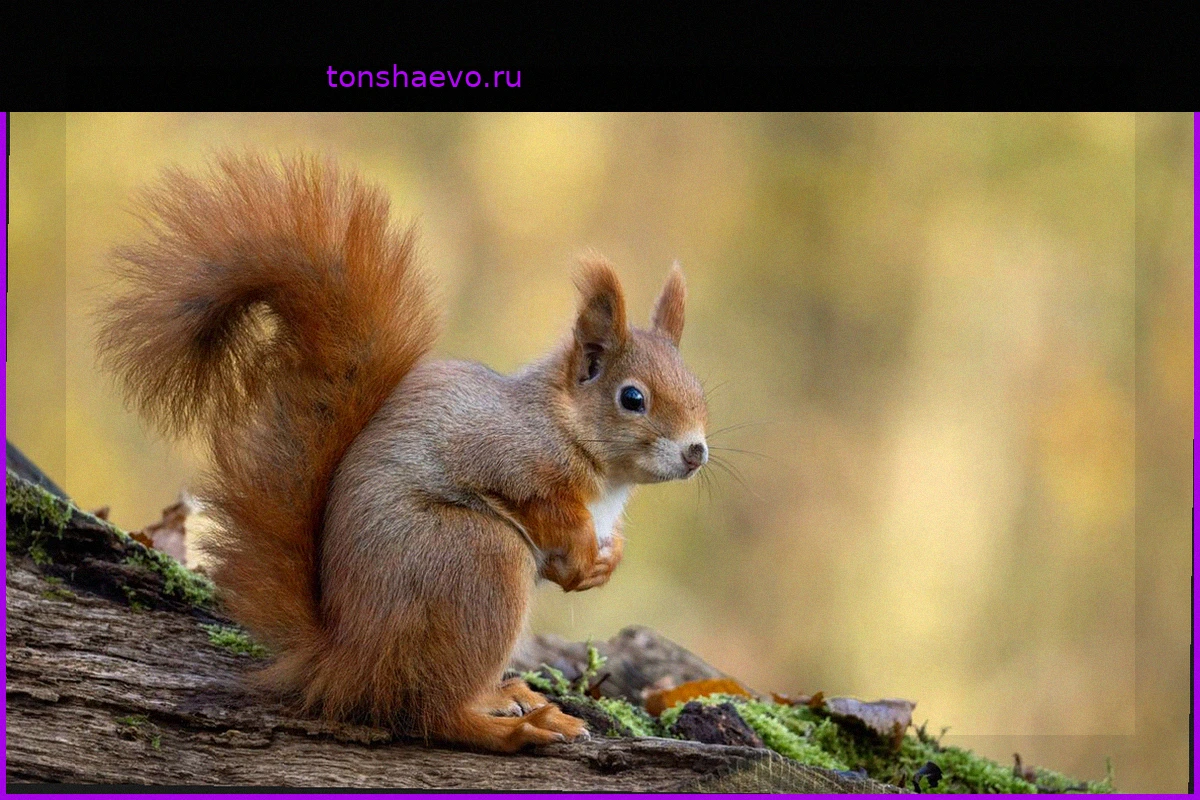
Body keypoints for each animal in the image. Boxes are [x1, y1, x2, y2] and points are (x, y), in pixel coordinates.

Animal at [96, 153, 709, 752]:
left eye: (699, 389)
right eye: (632, 398)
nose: (697, 452)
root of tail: (345, 661)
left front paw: (605, 563)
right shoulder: (506, 452)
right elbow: (540, 503)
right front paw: (583, 551)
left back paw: (505, 693)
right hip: (477, 560)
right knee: (430, 712)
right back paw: (515, 727)